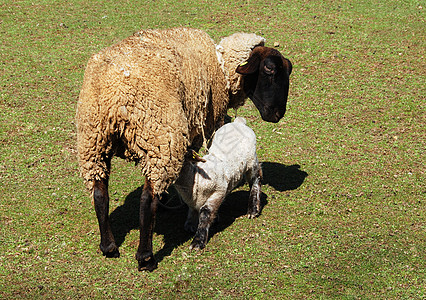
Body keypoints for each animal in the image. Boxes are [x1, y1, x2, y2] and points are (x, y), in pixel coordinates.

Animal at [174, 117, 262, 251]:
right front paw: (190, 224)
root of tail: (238, 122)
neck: (196, 178)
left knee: (256, 179)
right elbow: (192, 210)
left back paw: (253, 209)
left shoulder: (218, 191)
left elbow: (206, 212)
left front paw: (198, 241)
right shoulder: (192, 200)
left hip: (251, 161)